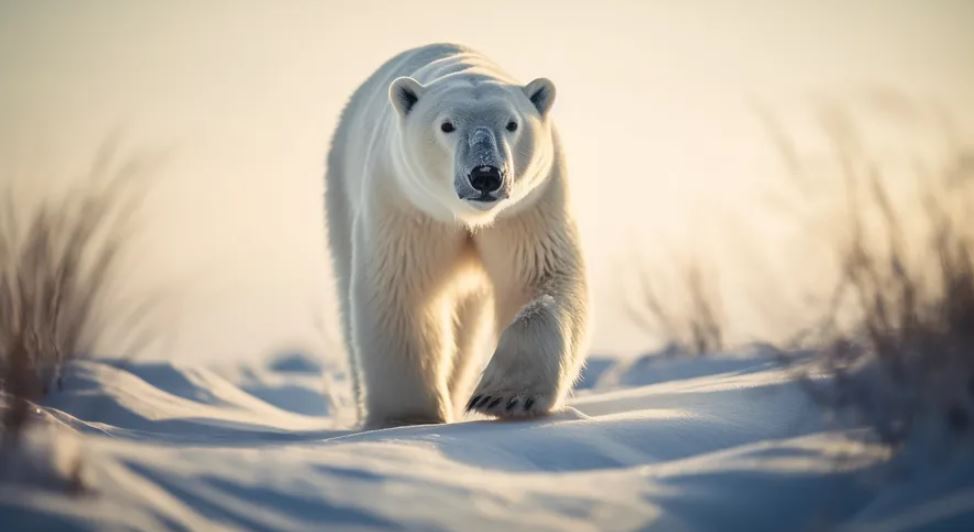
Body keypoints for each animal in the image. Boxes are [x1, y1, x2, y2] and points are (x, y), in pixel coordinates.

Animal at [326, 42, 588, 428]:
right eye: (447, 125)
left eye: (512, 123)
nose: (485, 175)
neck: (469, 218)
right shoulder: (408, 207)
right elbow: (404, 294)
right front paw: (408, 418)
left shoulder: (527, 207)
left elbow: (541, 279)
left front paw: (505, 396)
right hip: (342, 192)